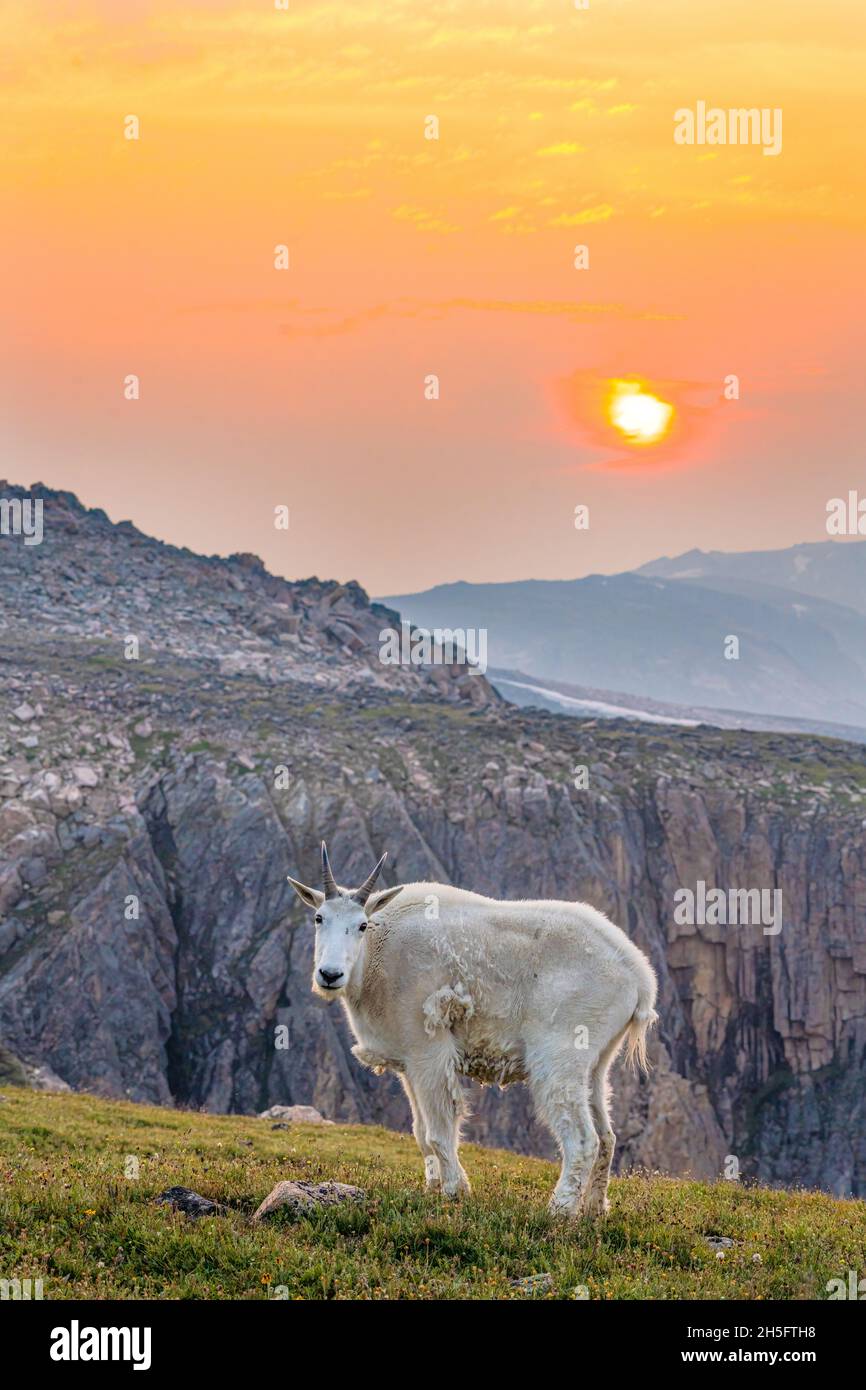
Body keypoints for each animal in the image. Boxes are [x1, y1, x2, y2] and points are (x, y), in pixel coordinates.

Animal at [287, 834, 661, 1217]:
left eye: (362, 925)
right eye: (318, 917)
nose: (330, 974)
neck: (378, 956)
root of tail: (639, 976)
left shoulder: (428, 1051)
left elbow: (439, 1131)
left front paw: (455, 1191)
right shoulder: (408, 1063)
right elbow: (420, 1132)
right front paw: (433, 1187)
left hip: (561, 1054)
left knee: (582, 1138)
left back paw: (559, 1210)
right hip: (597, 1062)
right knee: (607, 1135)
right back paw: (595, 1209)